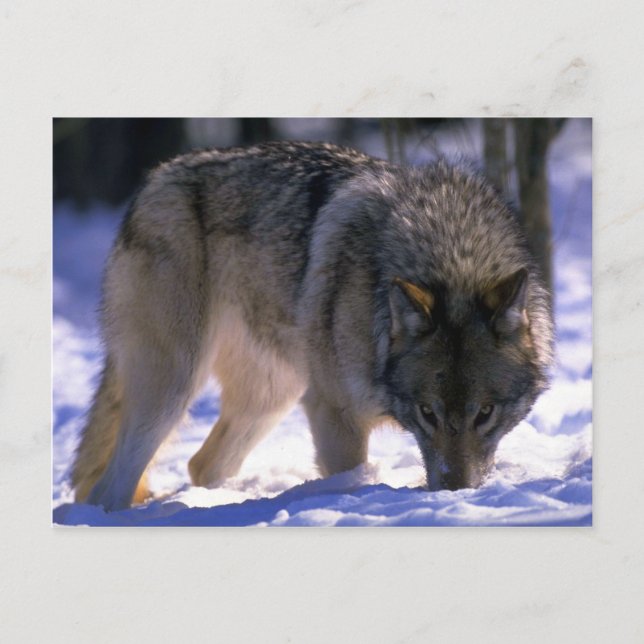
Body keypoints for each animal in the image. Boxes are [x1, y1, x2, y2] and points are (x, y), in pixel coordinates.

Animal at [70, 141, 554, 511]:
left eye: (485, 414)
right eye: (427, 413)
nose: (454, 494)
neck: (452, 253)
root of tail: (154, 180)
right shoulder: (333, 413)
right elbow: (353, 475)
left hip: (270, 396)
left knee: (201, 464)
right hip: (173, 390)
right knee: (110, 487)